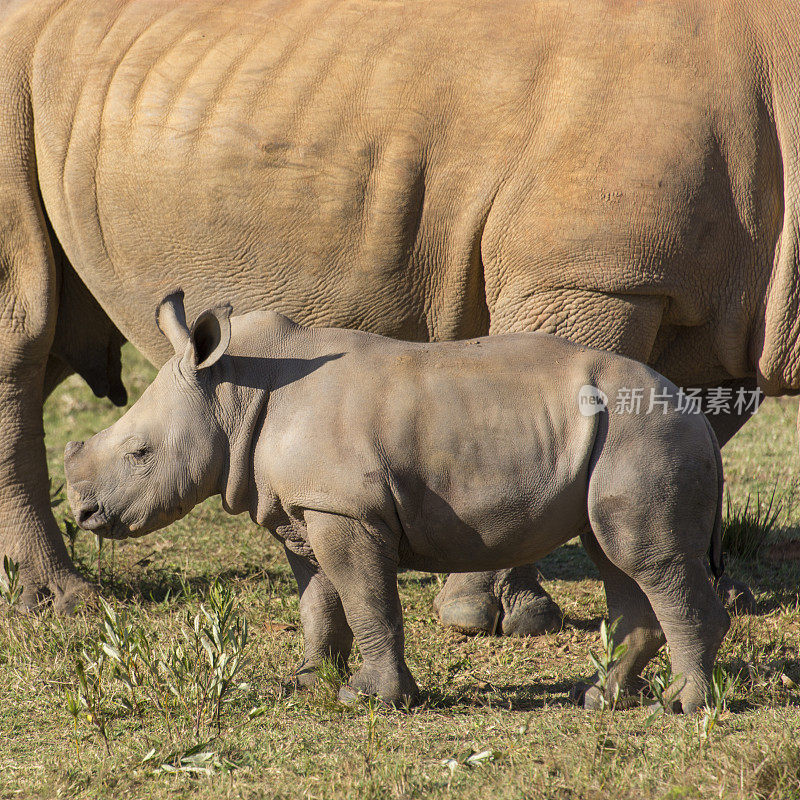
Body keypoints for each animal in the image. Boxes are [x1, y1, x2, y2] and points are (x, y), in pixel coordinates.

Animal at [0, 0, 788, 620]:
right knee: (25, 333)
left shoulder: (717, 309)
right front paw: (490, 614)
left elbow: (685, 433)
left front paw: (710, 588)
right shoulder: (595, 277)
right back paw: (63, 603)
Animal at [65, 294, 728, 712]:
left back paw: (681, 707)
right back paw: (599, 700)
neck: (234, 392)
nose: (84, 514)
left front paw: (370, 698)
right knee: (614, 555)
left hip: (646, 433)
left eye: (141, 453)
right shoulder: (307, 508)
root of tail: (695, 411)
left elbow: (367, 601)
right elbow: (319, 602)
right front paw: (306, 684)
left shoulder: (346, 509)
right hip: (622, 433)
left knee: (644, 559)